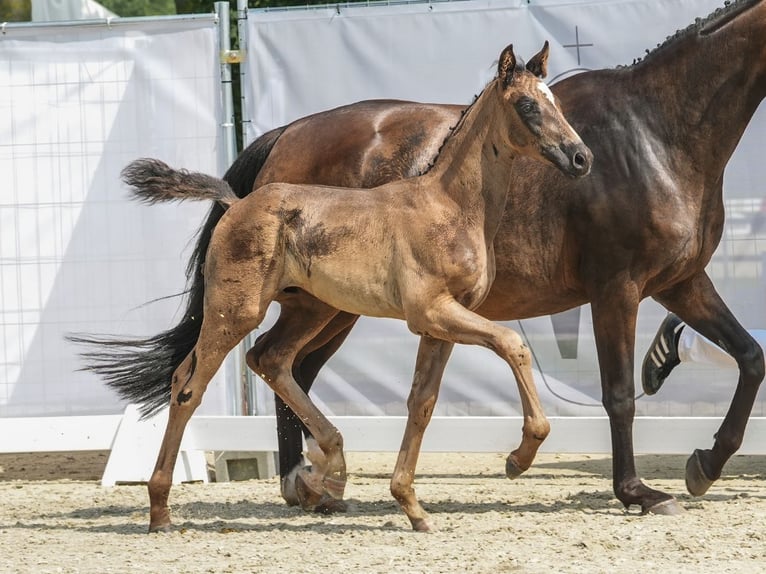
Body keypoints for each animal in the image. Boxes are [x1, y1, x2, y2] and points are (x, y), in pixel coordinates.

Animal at [79, 0, 766, 520]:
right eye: (528, 107)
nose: (580, 159)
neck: (656, 132)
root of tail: (277, 143)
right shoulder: (616, 287)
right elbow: (618, 392)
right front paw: (636, 492)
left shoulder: (680, 281)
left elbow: (750, 357)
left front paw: (704, 465)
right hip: (293, 308)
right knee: (238, 371)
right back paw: (292, 484)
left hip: (321, 307)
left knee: (279, 364)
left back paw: (317, 482)